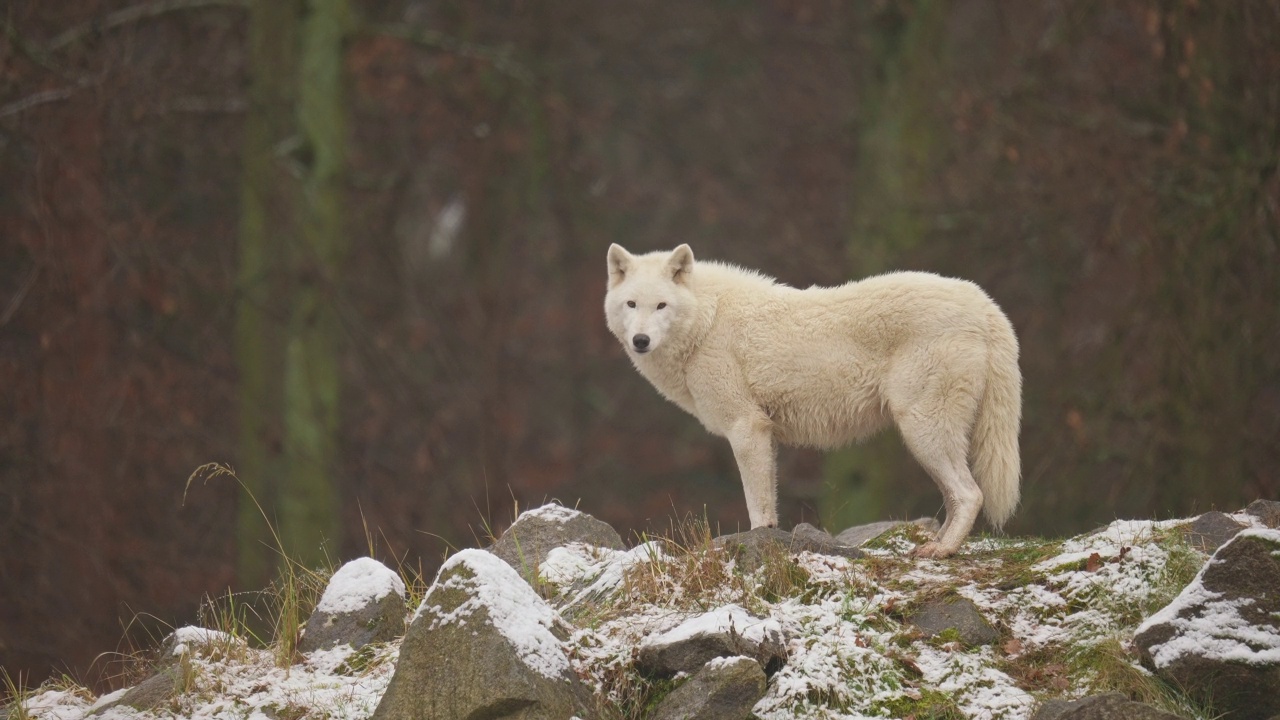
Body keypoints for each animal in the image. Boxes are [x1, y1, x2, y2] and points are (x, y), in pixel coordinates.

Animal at [604, 242, 1024, 556]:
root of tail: (984, 303)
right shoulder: (764, 434)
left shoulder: (746, 428)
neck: (706, 323)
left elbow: (757, 507)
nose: (641, 341)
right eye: (631, 305)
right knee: (957, 497)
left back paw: (941, 550)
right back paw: (939, 543)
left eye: (661, 305)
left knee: (970, 494)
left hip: (923, 431)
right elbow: (769, 501)